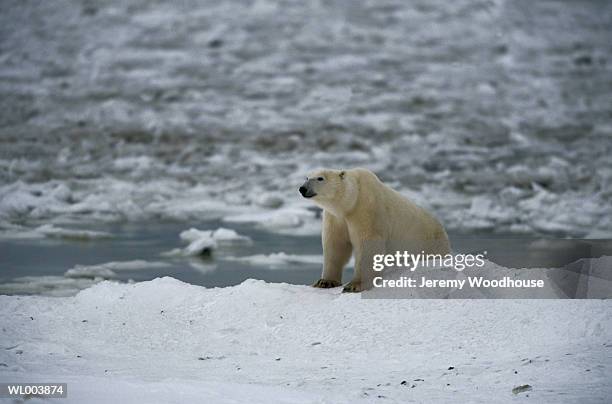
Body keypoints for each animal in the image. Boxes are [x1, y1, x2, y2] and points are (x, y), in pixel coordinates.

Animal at [300, 169, 450, 292]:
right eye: (307, 177)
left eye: (320, 178)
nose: (302, 188)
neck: (351, 201)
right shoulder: (336, 218)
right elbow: (335, 245)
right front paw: (325, 282)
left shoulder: (367, 210)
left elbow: (367, 244)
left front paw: (355, 285)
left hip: (432, 244)